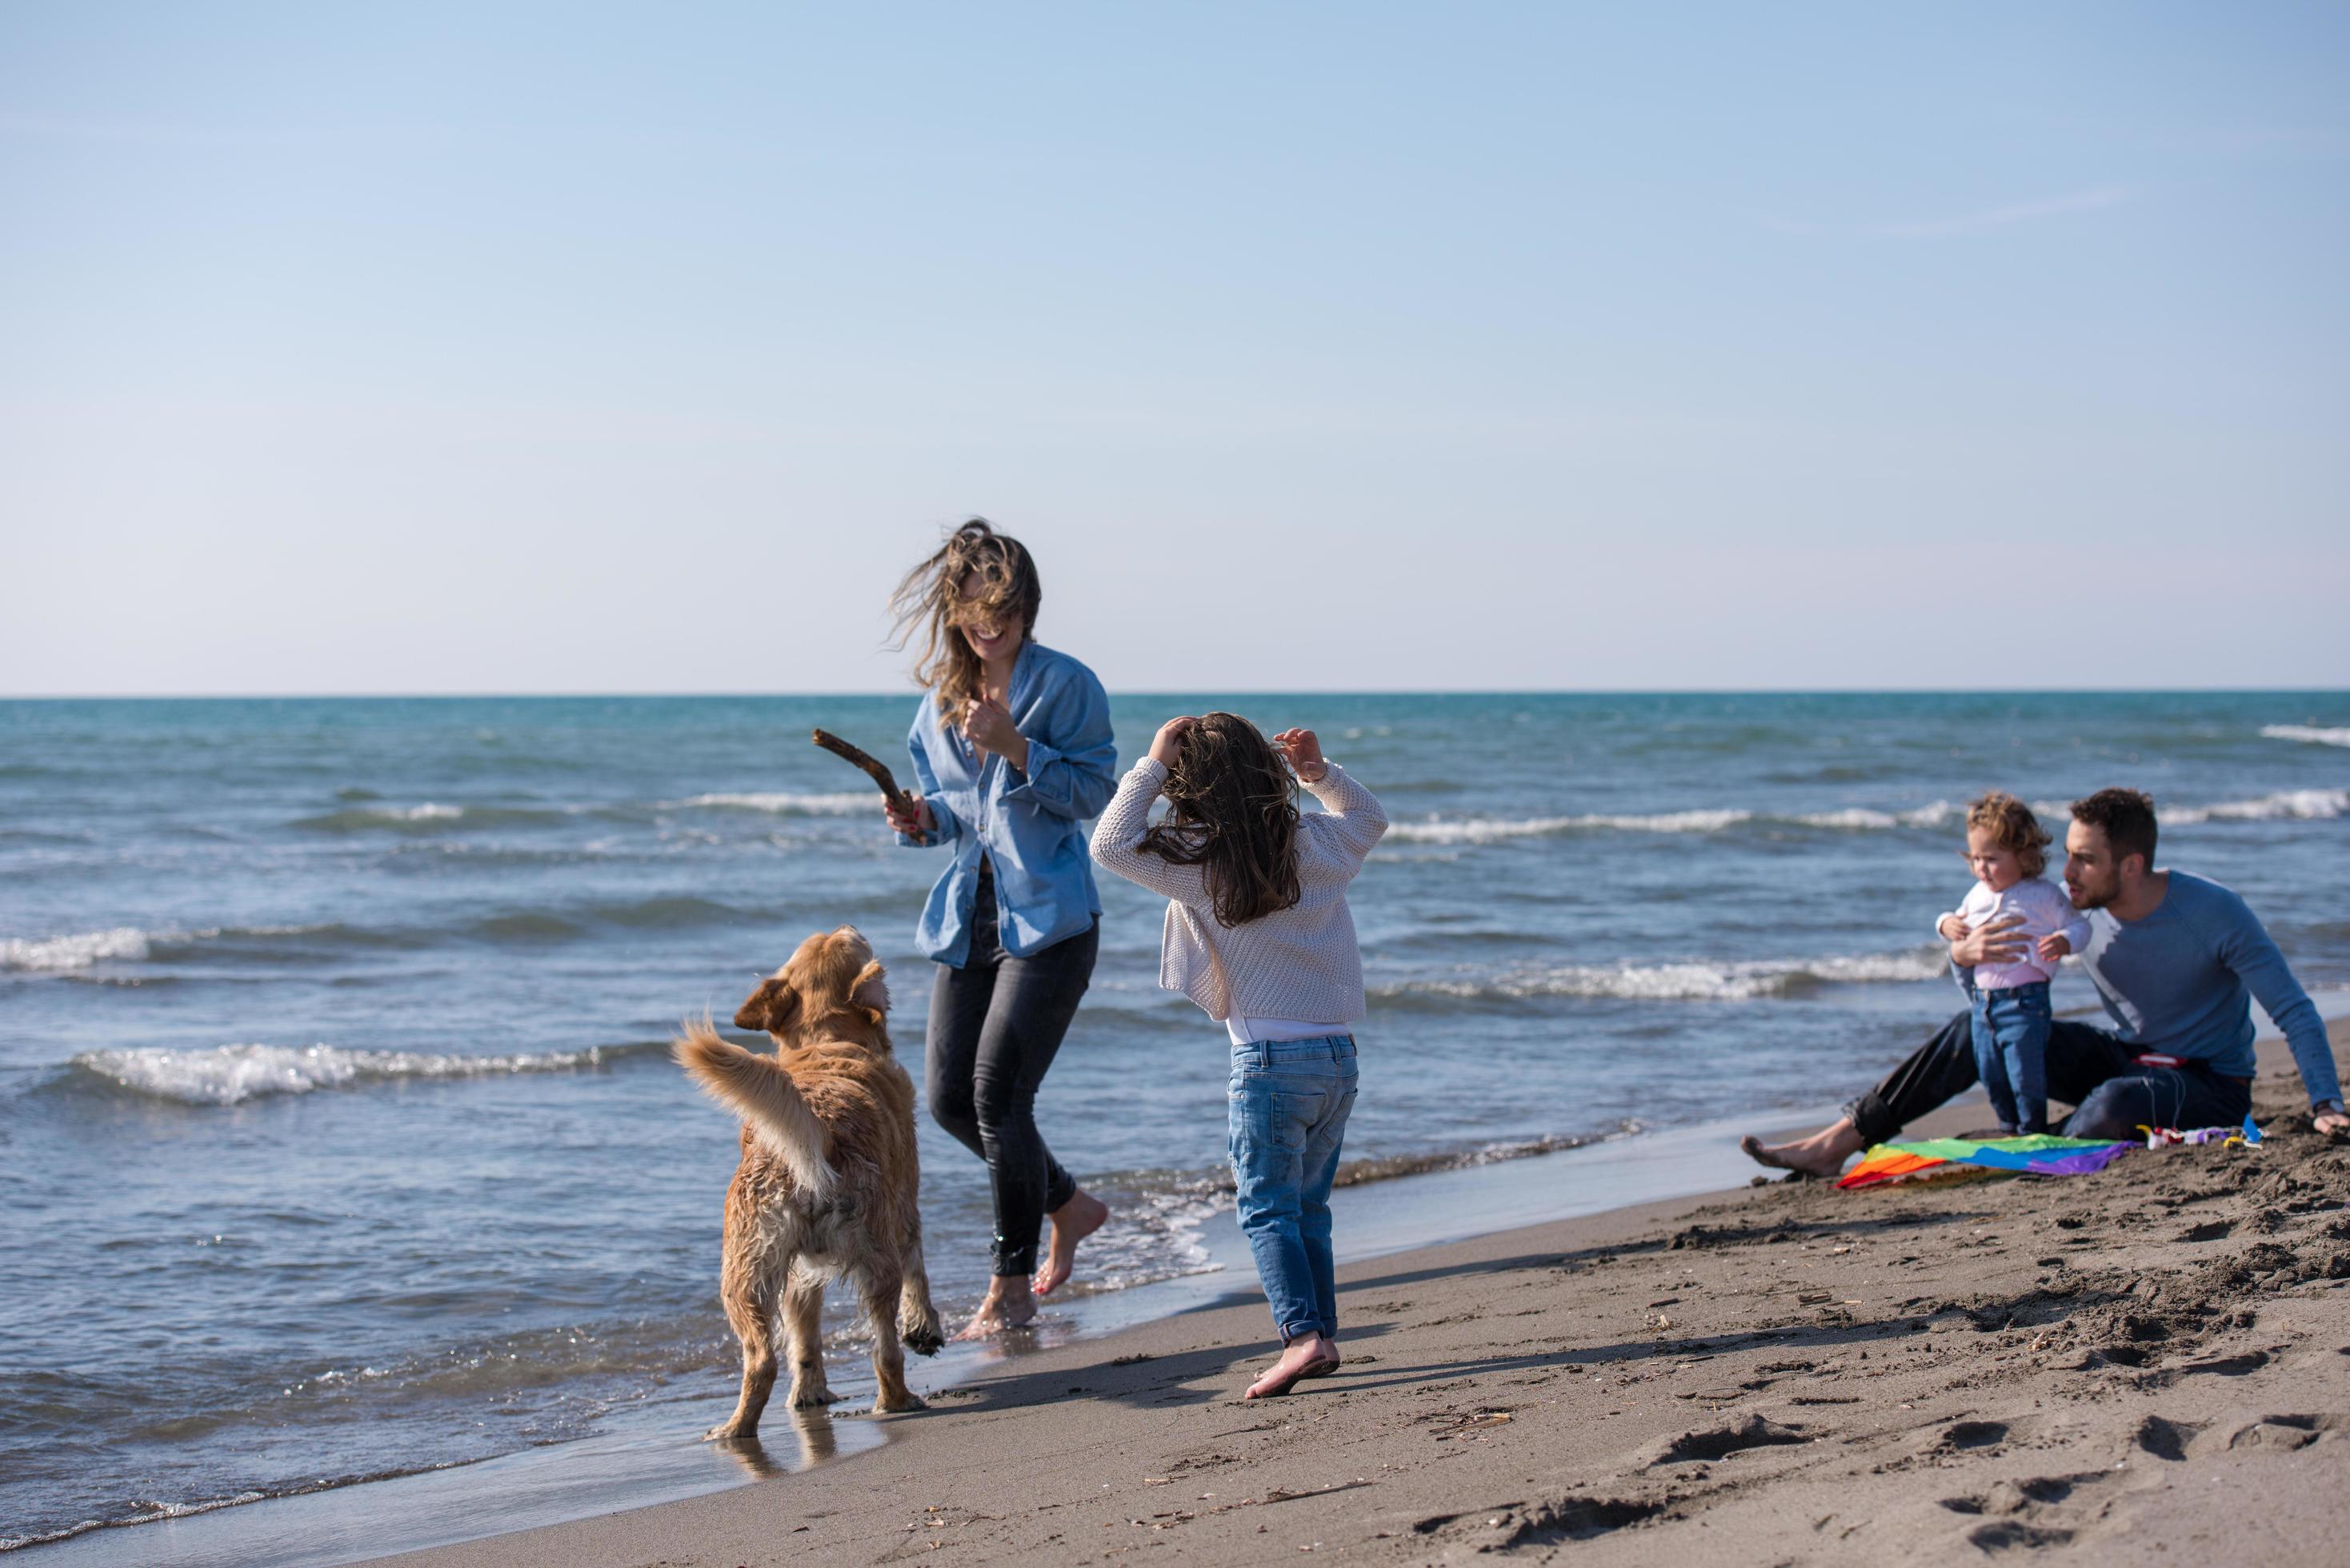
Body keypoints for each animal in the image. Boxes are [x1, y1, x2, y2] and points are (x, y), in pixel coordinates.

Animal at [671, 926, 944, 1438]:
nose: (849, 927)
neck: (826, 1042)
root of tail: (818, 1126)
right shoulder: (907, 1204)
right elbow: (918, 1270)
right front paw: (925, 1329)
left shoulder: (799, 1273)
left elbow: (804, 1336)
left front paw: (809, 1392)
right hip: (876, 1250)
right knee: (885, 1348)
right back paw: (898, 1400)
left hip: (745, 1272)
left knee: (762, 1359)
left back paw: (735, 1428)